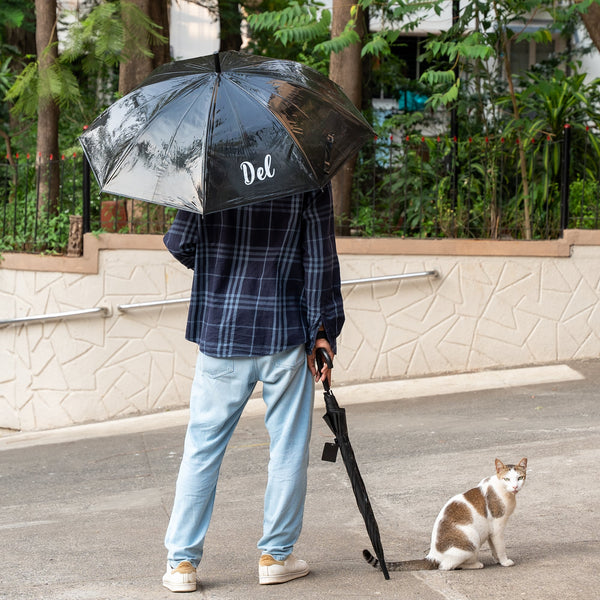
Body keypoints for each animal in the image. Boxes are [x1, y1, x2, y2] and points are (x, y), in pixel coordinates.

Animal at [364, 460, 528, 572]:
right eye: (507, 479)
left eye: (520, 478)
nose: (515, 487)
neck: (504, 491)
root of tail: (432, 555)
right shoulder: (498, 527)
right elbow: (500, 547)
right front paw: (505, 561)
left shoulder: (490, 530)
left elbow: (494, 547)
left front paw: (497, 560)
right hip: (472, 539)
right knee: (445, 566)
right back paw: (475, 564)